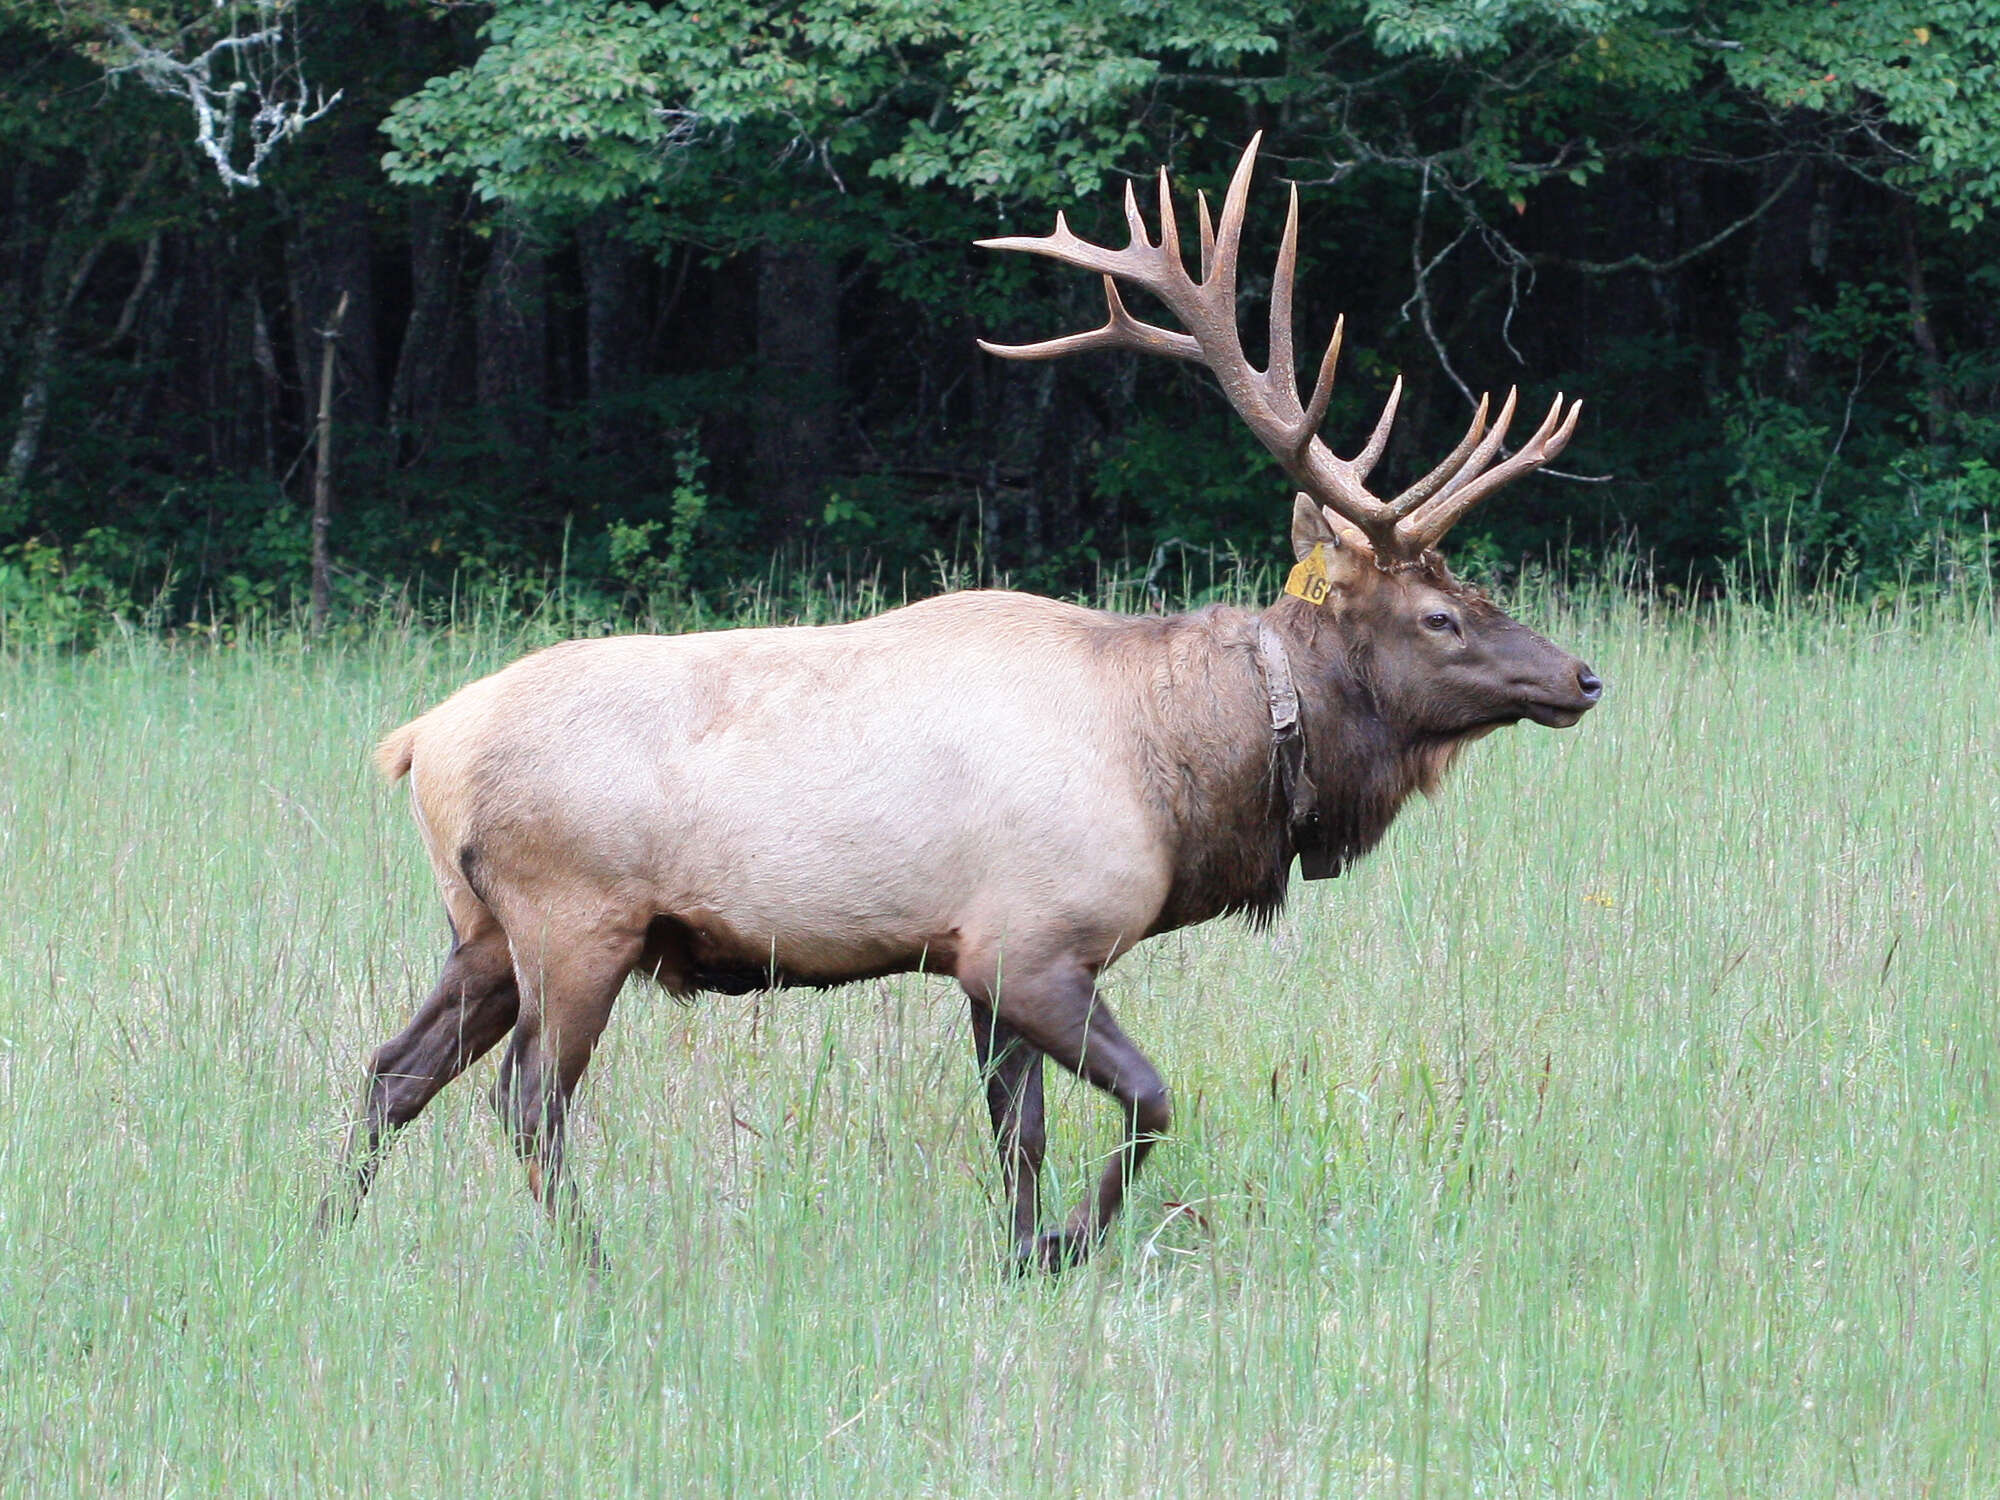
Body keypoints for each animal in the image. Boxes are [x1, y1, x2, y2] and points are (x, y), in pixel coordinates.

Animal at [324, 138, 1608, 1272]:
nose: (1580, 677)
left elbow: (1015, 1135)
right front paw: (1062, 1246)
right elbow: (1149, 1102)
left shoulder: (973, 953)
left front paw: (1017, 1253)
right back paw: (594, 1267)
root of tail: (416, 745)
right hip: (573, 919)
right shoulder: (1031, 941)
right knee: (524, 1101)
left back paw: (319, 1239)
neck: (1184, 772)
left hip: (479, 929)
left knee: (392, 1069)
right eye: (1437, 619)